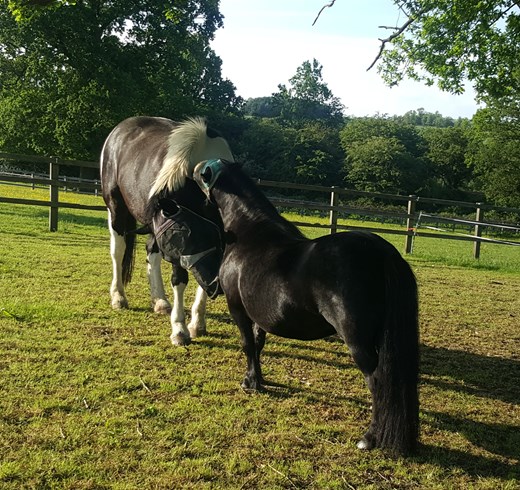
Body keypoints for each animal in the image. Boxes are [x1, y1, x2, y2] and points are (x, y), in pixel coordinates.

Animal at [100, 117, 234, 346]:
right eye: (177, 239)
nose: (215, 288)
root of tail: (121, 128)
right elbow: (179, 280)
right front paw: (180, 329)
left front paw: (197, 323)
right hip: (116, 208)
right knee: (118, 251)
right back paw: (118, 297)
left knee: (151, 253)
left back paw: (160, 301)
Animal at [190, 160, 418, 456]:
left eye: (201, 175)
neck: (248, 233)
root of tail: (382, 252)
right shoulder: (258, 316)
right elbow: (258, 344)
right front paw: (259, 380)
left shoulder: (237, 308)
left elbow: (247, 345)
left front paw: (249, 383)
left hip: (359, 341)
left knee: (378, 382)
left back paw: (369, 438)